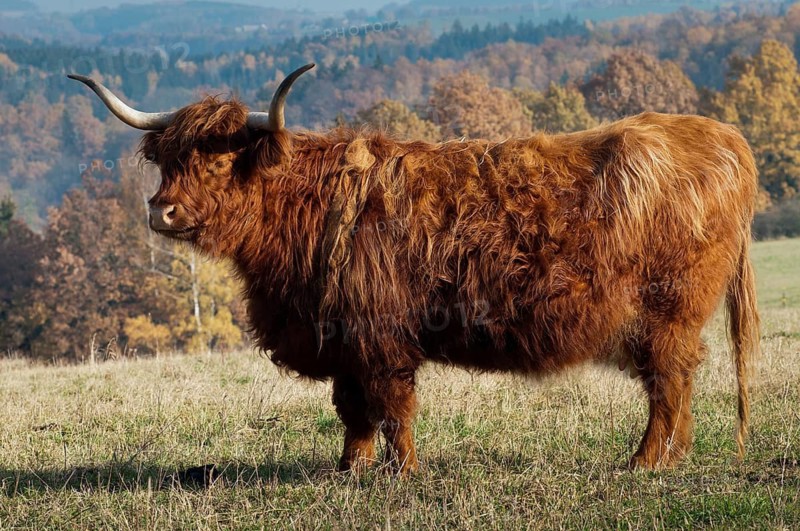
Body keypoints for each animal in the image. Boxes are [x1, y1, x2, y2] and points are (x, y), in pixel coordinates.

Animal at [69, 64, 759, 475]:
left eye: (216, 160)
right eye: (166, 159)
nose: (162, 210)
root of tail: (725, 138)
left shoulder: (379, 333)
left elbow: (391, 403)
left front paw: (402, 471)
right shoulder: (337, 335)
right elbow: (351, 407)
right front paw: (350, 469)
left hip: (667, 311)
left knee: (666, 382)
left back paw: (644, 462)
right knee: (681, 381)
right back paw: (674, 457)